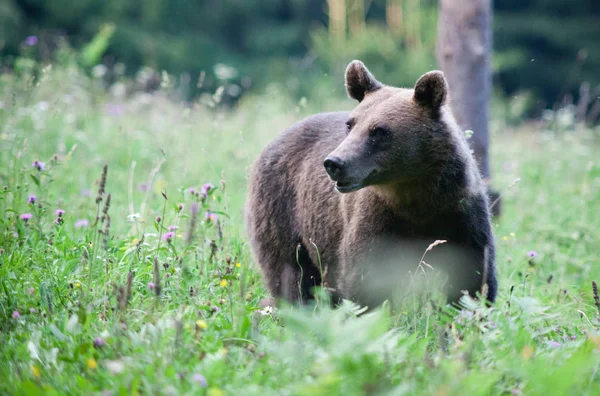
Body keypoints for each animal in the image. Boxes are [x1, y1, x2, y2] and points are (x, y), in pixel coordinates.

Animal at [244, 59, 496, 310]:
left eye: (379, 131)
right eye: (350, 124)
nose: (334, 163)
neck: (415, 192)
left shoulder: (459, 211)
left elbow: (475, 275)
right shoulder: (377, 219)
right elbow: (363, 279)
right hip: (282, 209)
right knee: (291, 271)